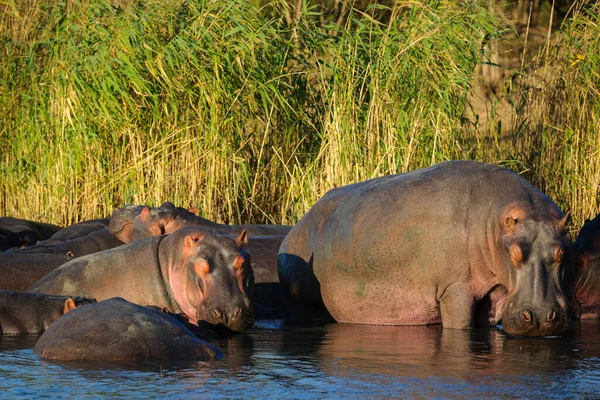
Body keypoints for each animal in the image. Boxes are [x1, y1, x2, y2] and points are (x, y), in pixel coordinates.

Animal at [278, 161, 576, 336]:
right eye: (514, 253)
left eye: (562, 252)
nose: (540, 316)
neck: (494, 223)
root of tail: (293, 230)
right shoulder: (454, 287)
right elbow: (461, 325)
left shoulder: (494, 290)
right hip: (299, 303)